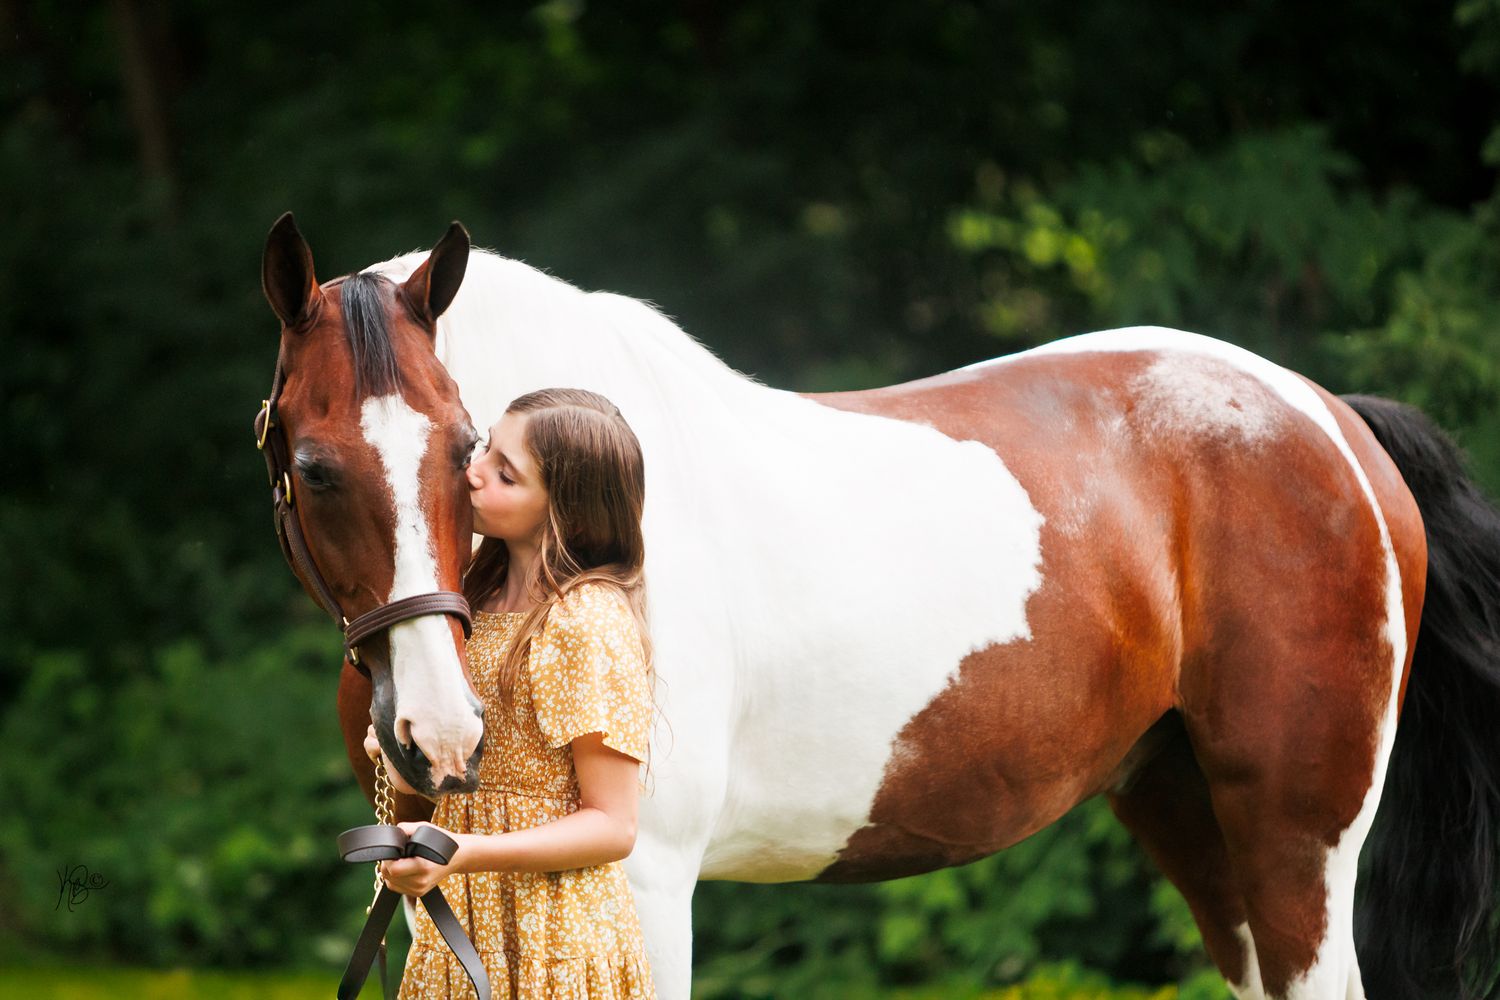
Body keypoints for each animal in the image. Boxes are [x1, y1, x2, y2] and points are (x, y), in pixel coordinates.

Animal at [259, 215, 1500, 1000]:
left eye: (467, 451)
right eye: (314, 465)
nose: (439, 732)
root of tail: (1328, 417)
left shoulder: (644, 874)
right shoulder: (427, 877)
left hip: (1297, 835)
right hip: (1191, 808)